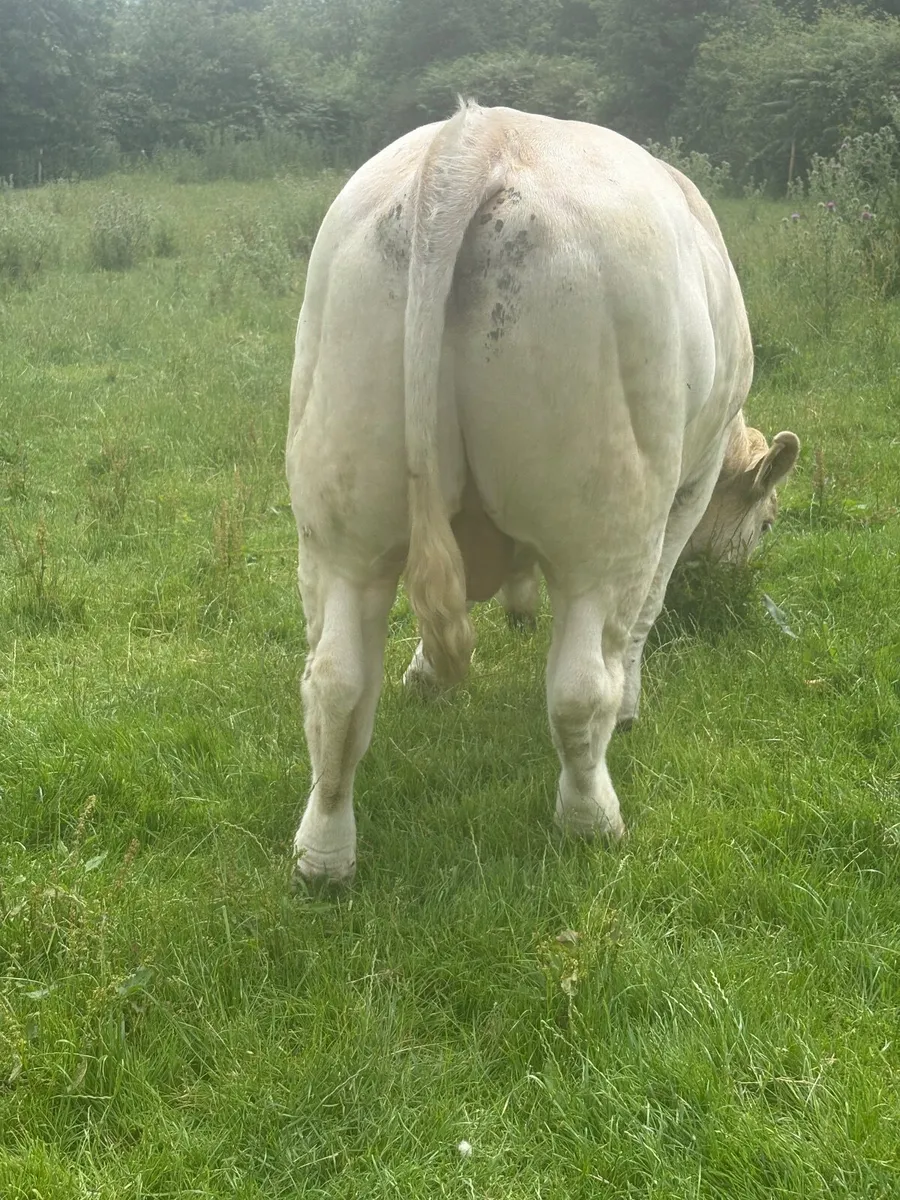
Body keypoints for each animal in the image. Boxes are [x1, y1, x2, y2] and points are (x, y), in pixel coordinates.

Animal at [286, 102, 799, 886]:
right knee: (582, 687)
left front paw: (446, 657)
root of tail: (480, 135)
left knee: (335, 681)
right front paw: (631, 703)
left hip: (340, 517)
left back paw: (324, 854)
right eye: (766, 522)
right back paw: (591, 817)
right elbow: (648, 611)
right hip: (607, 520)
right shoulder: (690, 483)